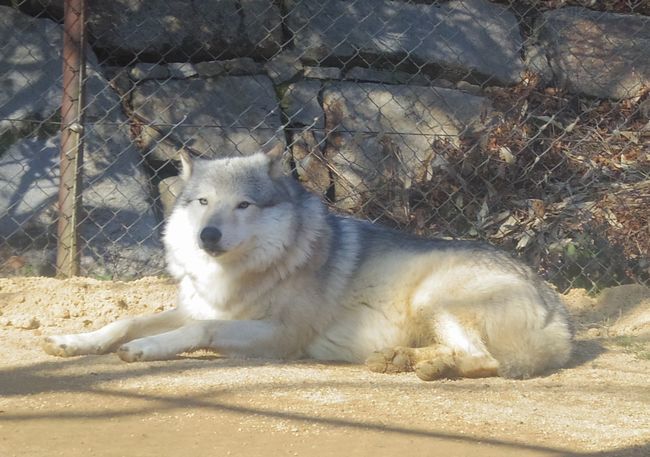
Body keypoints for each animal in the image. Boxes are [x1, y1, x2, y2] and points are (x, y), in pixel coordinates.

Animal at [44, 145, 572, 378]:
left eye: (244, 205)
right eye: (202, 202)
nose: (207, 234)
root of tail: (561, 312)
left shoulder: (281, 335)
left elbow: (200, 331)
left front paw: (146, 350)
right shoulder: (197, 305)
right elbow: (128, 320)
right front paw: (75, 341)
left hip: (432, 297)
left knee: (485, 362)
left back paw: (426, 366)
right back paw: (401, 359)